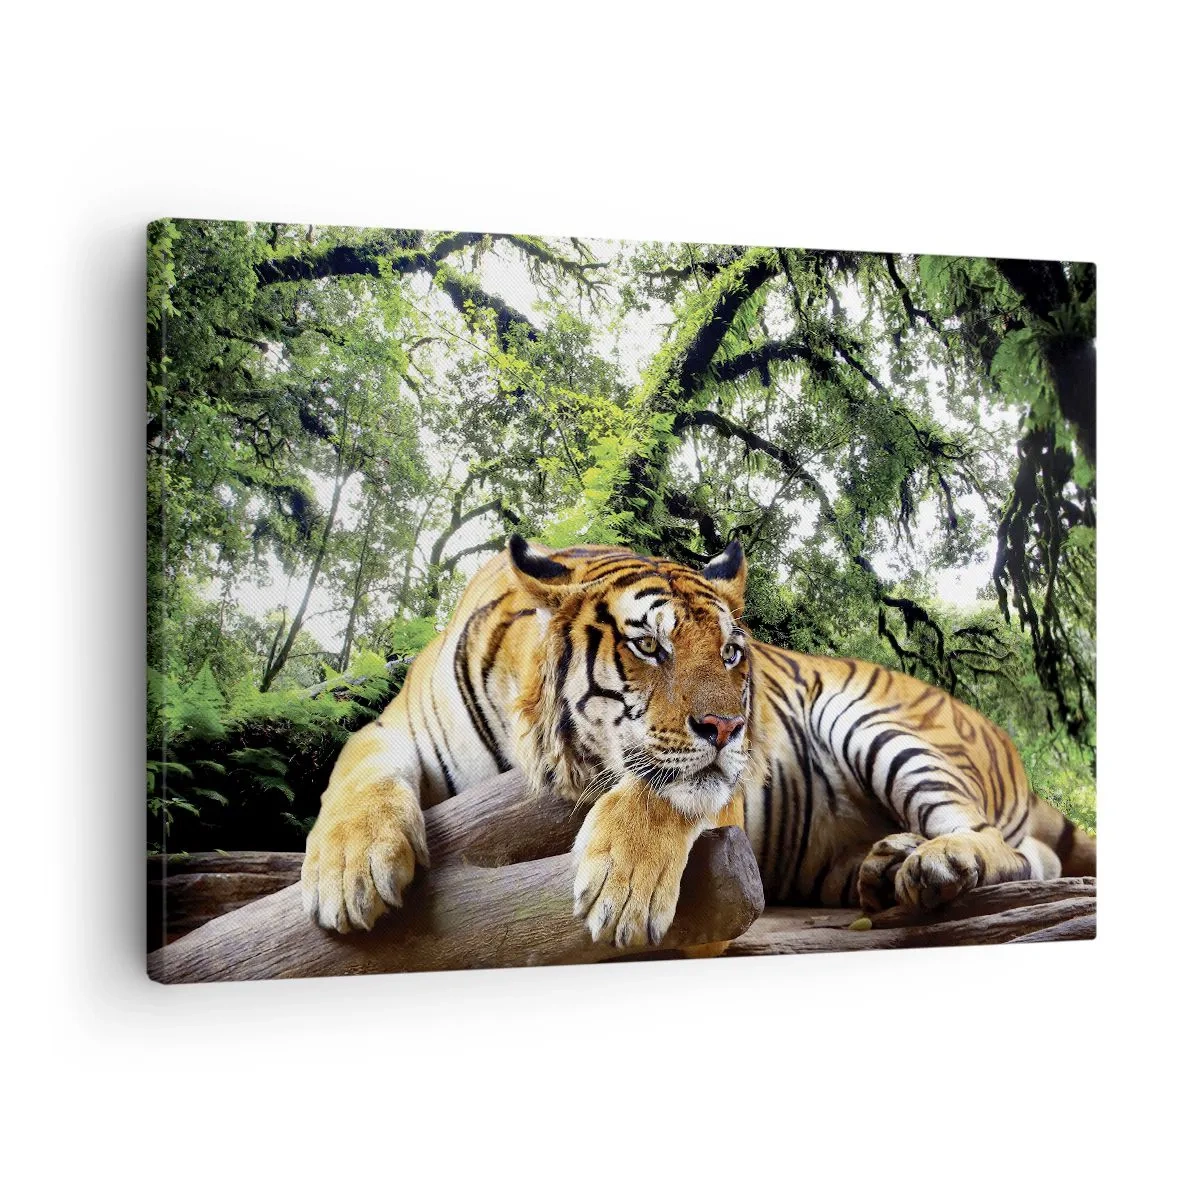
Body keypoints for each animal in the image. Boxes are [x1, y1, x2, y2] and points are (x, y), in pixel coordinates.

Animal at [300, 537, 1095, 949]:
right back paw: (888, 864)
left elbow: (666, 792)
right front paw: (349, 871)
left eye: (733, 653)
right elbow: (356, 773)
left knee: (1010, 847)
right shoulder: (391, 728)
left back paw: (938, 863)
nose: (729, 727)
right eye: (648, 645)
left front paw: (622, 888)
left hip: (880, 724)